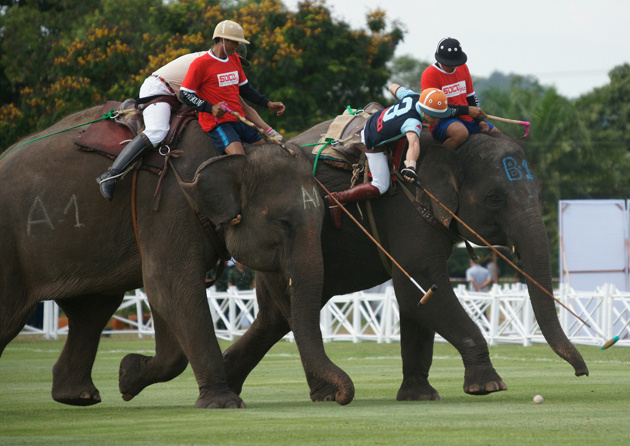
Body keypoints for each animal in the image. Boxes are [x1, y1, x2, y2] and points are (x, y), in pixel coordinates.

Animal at [0, 104, 356, 408]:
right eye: (284, 223)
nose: (339, 397)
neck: (235, 151)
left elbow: (164, 298)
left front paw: (127, 375)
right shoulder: (168, 204)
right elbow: (169, 285)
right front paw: (223, 403)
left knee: (92, 309)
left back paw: (79, 397)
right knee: (15, 317)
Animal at [220, 123, 592, 404]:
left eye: (539, 193)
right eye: (494, 198)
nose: (582, 372)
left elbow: (417, 300)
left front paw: (420, 396)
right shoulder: (404, 209)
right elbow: (421, 288)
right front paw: (488, 387)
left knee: (275, 319)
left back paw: (229, 384)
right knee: (289, 314)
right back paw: (323, 394)